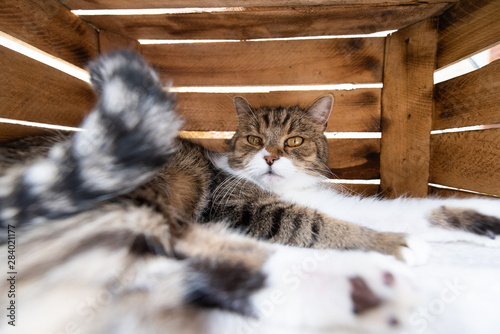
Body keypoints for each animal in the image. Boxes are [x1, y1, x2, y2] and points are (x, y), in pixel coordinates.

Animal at [0, 51, 498, 332]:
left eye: (293, 141)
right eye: (255, 139)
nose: (272, 157)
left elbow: (409, 208)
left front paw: (481, 218)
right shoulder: (241, 209)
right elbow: (318, 226)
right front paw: (394, 245)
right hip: (137, 201)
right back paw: (361, 291)